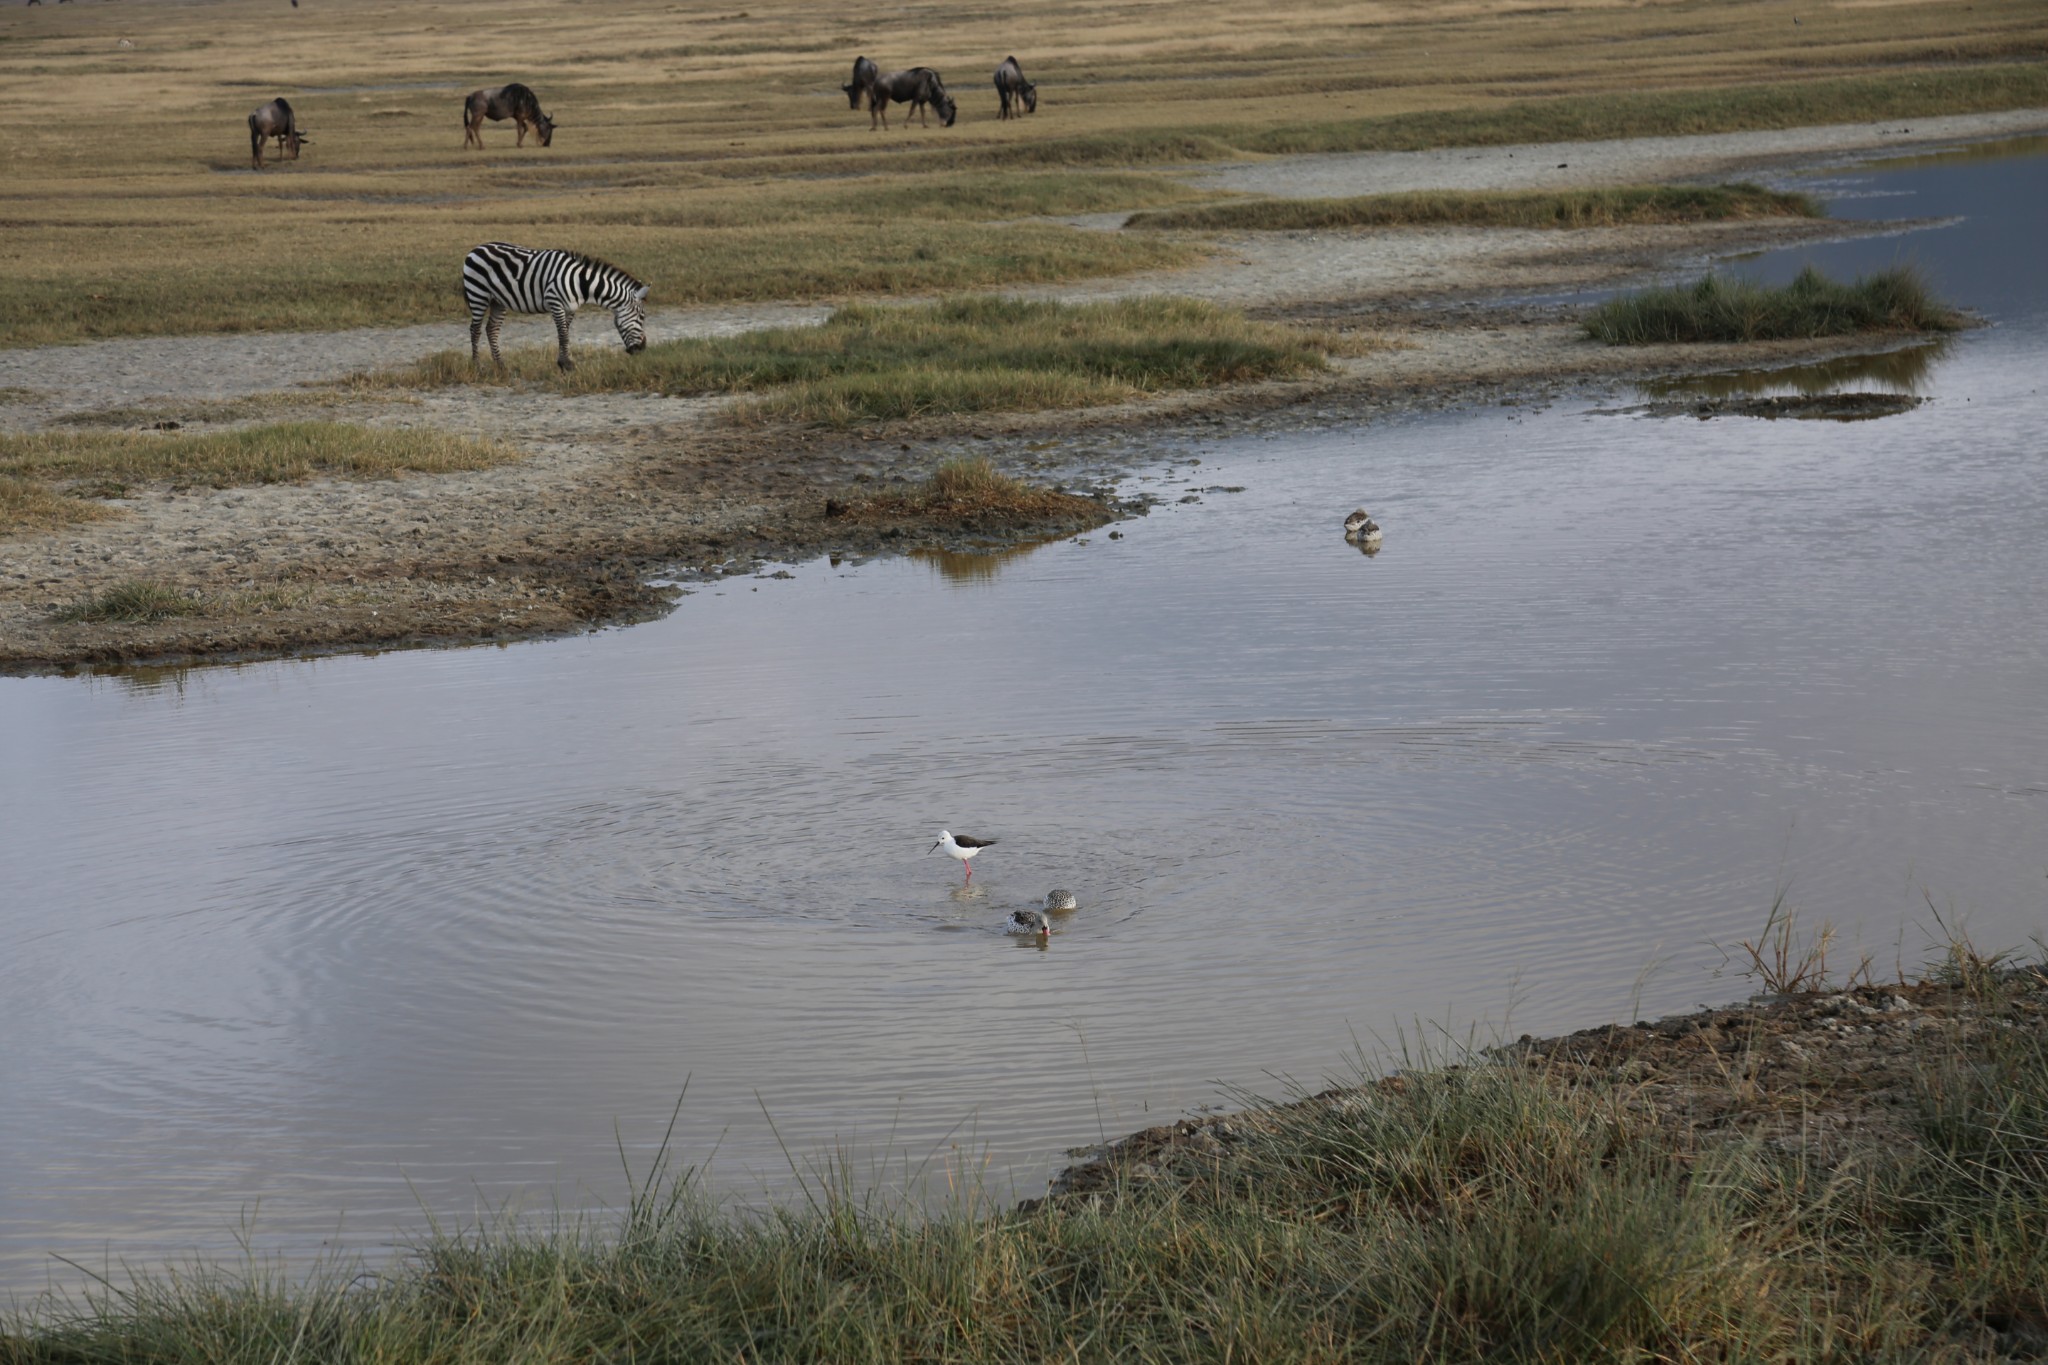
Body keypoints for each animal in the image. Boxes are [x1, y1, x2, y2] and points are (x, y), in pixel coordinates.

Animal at [462, 240, 647, 368]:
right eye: (641, 317)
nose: (643, 349)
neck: (581, 283)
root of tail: (476, 249)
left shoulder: (570, 308)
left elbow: (564, 333)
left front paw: (563, 362)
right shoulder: (555, 301)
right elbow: (564, 335)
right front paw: (567, 365)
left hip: (497, 301)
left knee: (492, 329)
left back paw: (501, 365)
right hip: (478, 294)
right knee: (475, 330)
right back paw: (477, 366)